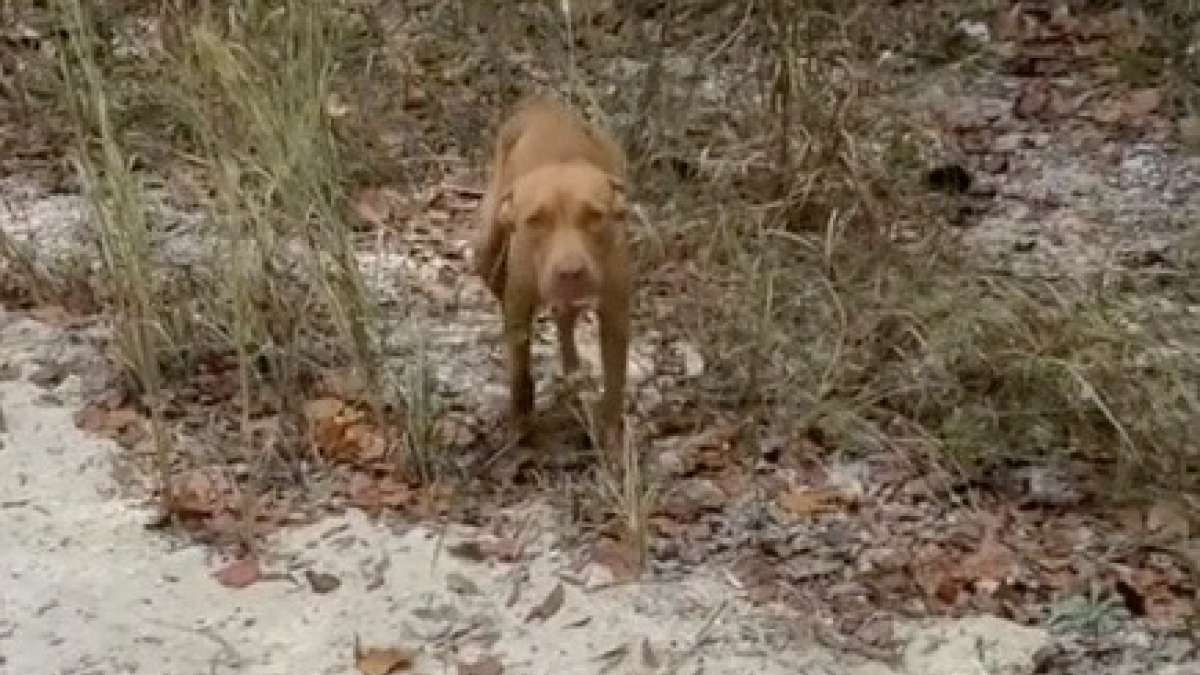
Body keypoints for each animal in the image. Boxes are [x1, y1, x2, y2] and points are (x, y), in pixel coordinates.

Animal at [470, 93, 633, 451]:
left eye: (595, 217)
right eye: (535, 220)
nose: (570, 271)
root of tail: (541, 103)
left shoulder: (615, 312)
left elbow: (615, 380)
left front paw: (611, 437)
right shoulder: (518, 306)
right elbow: (519, 370)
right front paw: (522, 423)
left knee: (565, 321)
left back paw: (574, 377)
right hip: (487, 251)